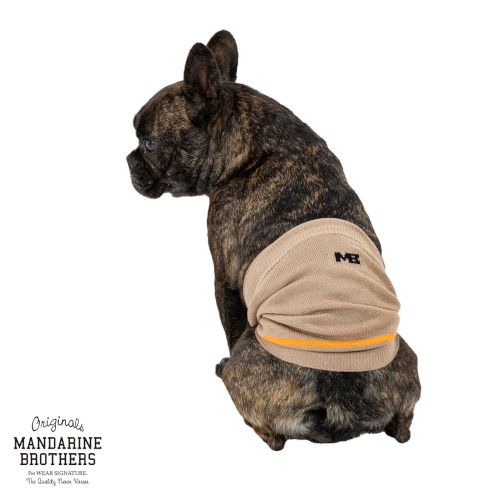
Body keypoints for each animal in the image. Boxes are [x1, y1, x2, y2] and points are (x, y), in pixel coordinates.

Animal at [127, 30, 421, 450]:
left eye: (149, 144)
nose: (128, 160)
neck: (251, 142)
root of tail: (341, 398)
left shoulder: (224, 279)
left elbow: (230, 326)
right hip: (407, 356)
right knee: (403, 427)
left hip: (251, 355)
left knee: (270, 432)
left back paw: (228, 376)